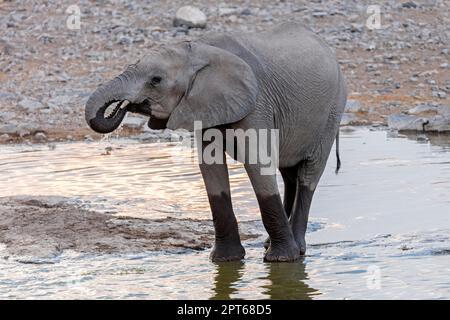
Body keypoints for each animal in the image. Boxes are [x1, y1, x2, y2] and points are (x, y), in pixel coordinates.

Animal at [85, 22, 348, 262]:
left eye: (156, 80)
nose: (121, 107)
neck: (200, 51)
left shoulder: (256, 103)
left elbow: (257, 162)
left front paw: (281, 260)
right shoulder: (204, 105)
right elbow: (211, 167)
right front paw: (224, 260)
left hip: (332, 112)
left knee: (308, 175)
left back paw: (297, 250)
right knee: (288, 174)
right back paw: (270, 243)